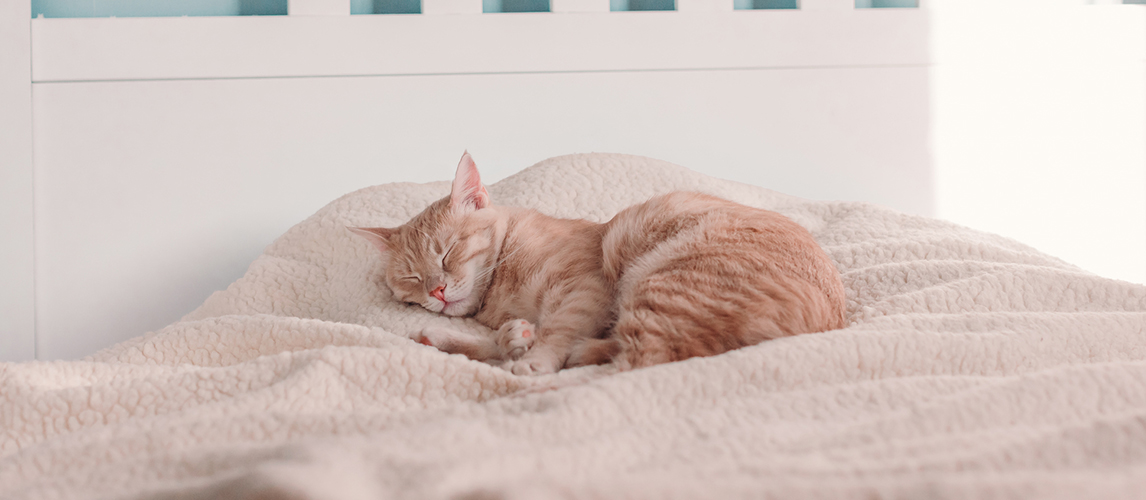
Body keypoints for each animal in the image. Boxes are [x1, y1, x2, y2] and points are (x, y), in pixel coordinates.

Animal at [346, 152, 843, 376]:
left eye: (447, 252)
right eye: (411, 277)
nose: (436, 290)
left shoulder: (584, 288)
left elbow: (556, 331)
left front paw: (532, 354)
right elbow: (514, 337)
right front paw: (501, 337)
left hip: (659, 284)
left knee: (630, 365)